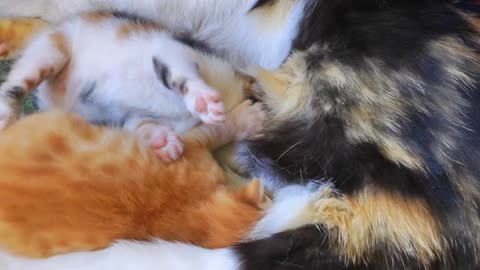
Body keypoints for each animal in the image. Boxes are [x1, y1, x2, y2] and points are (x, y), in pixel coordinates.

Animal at [0, 10, 253, 161]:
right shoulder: (174, 49)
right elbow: (181, 73)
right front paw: (202, 101)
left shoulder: (136, 117)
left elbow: (139, 125)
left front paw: (163, 142)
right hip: (53, 49)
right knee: (15, 85)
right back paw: (6, 117)